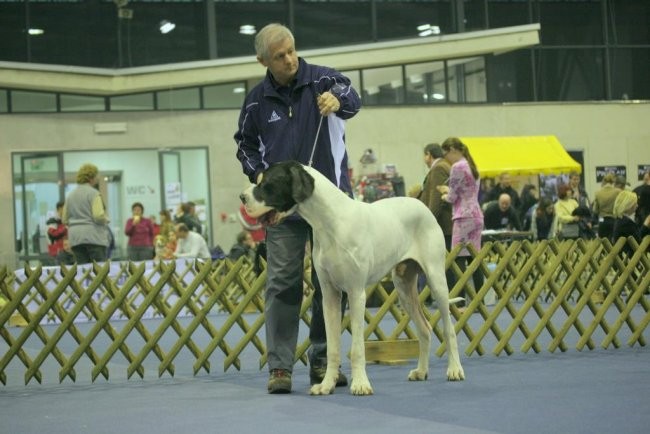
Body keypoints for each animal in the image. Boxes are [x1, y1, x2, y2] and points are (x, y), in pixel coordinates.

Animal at [240, 161, 464, 396]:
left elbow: (357, 348)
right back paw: (421, 371)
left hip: (436, 280)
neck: (329, 222)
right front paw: (326, 384)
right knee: (425, 330)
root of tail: (422, 205)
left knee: (448, 329)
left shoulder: (356, 294)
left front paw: (360, 384)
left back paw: (455, 369)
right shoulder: (329, 295)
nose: (242, 197)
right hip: (404, 289)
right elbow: (332, 347)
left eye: (267, 183)